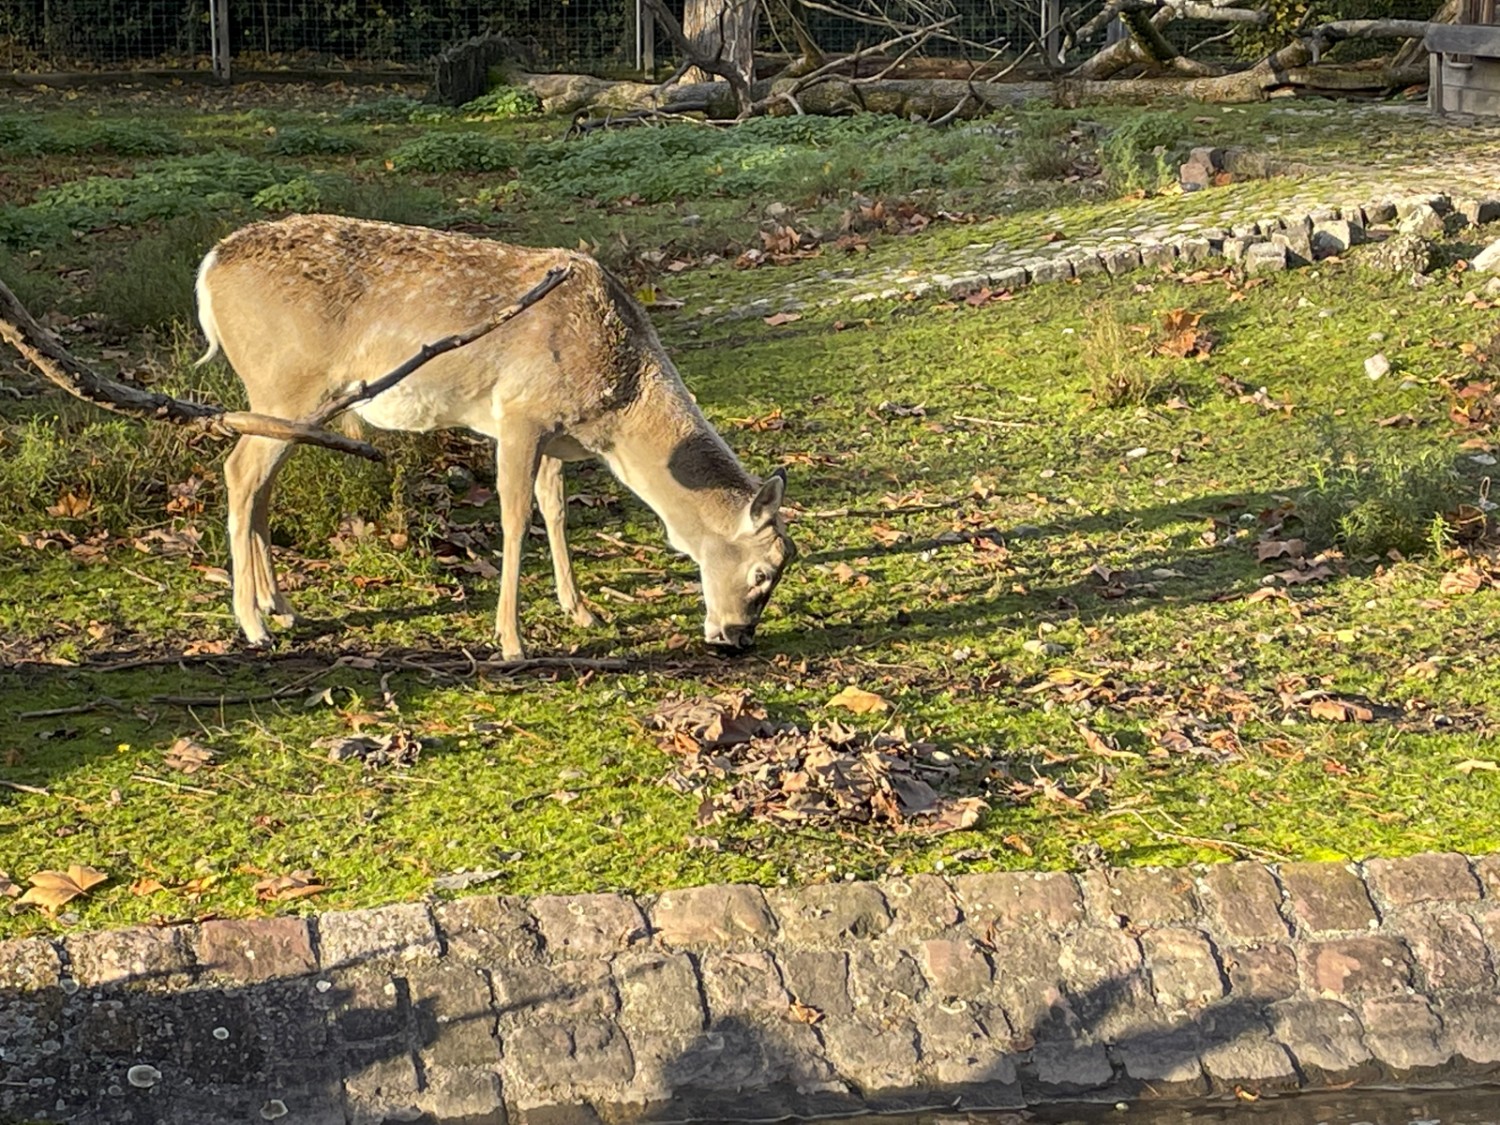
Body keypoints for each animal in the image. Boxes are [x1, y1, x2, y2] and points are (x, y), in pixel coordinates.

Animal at [196, 213, 798, 660]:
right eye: (762, 571)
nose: (737, 638)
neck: (614, 415)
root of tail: (208, 268)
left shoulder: (554, 435)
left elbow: (555, 509)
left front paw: (581, 610)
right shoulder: (520, 412)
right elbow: (514, 518)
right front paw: (511, 640)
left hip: (292, 402)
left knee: (261, 483)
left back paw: (279, 606)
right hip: (285, 383)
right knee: (239, 470)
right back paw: (253, 624)